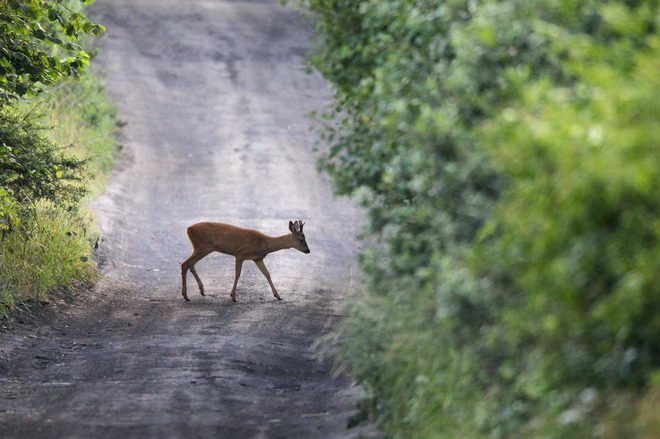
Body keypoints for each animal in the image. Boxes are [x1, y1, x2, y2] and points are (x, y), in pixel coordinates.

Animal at [179, 220, 310, 302]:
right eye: (301, 239)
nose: (308, 251)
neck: (264, 244)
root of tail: (188, 229)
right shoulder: (240, 253)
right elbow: (237, 274)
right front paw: (233, 297)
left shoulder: (258, 258)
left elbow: (267, 274)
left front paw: (278, 296)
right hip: (202, 247)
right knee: (185, 264)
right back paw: (186, 296)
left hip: (202, 248)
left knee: (190, 264)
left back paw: (200, 291)